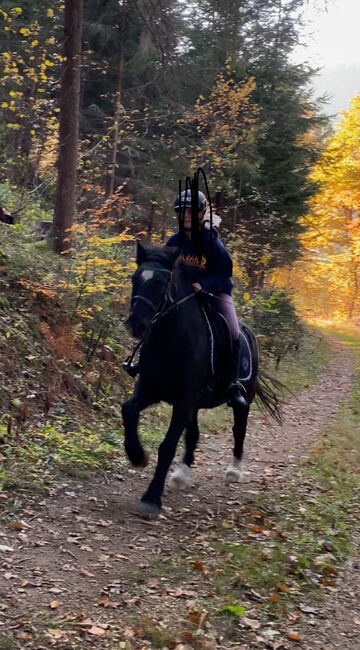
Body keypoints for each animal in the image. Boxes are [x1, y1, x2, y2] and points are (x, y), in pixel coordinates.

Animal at [122, 242, 278, 512]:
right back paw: (181, 474)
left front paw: (151, 498)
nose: (136, 325)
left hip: (243, 399)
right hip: (194, 404)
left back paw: (234, 471)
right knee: (193, 433)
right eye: (135, 278)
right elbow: (128, 410)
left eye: (162, 283)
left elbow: (168, 445)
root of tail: (249, 334)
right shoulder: (151, 390)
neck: (170, 341)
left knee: (239, 430)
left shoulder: (184, 400)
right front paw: (137, 456)